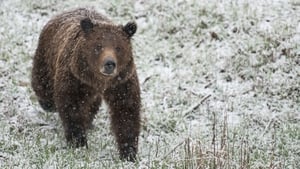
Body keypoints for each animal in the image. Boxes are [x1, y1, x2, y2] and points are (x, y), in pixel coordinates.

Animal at [31, 7, 141, 161]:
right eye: (98, 46)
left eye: (118, 47)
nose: (109, 64)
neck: (99, 81)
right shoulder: (75, 77)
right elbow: (72, 106)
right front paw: (78, 142)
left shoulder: (121, 82)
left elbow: (126, 111)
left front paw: (128, 152)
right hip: (46, 56)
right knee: (42, 83)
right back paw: (48, 104)